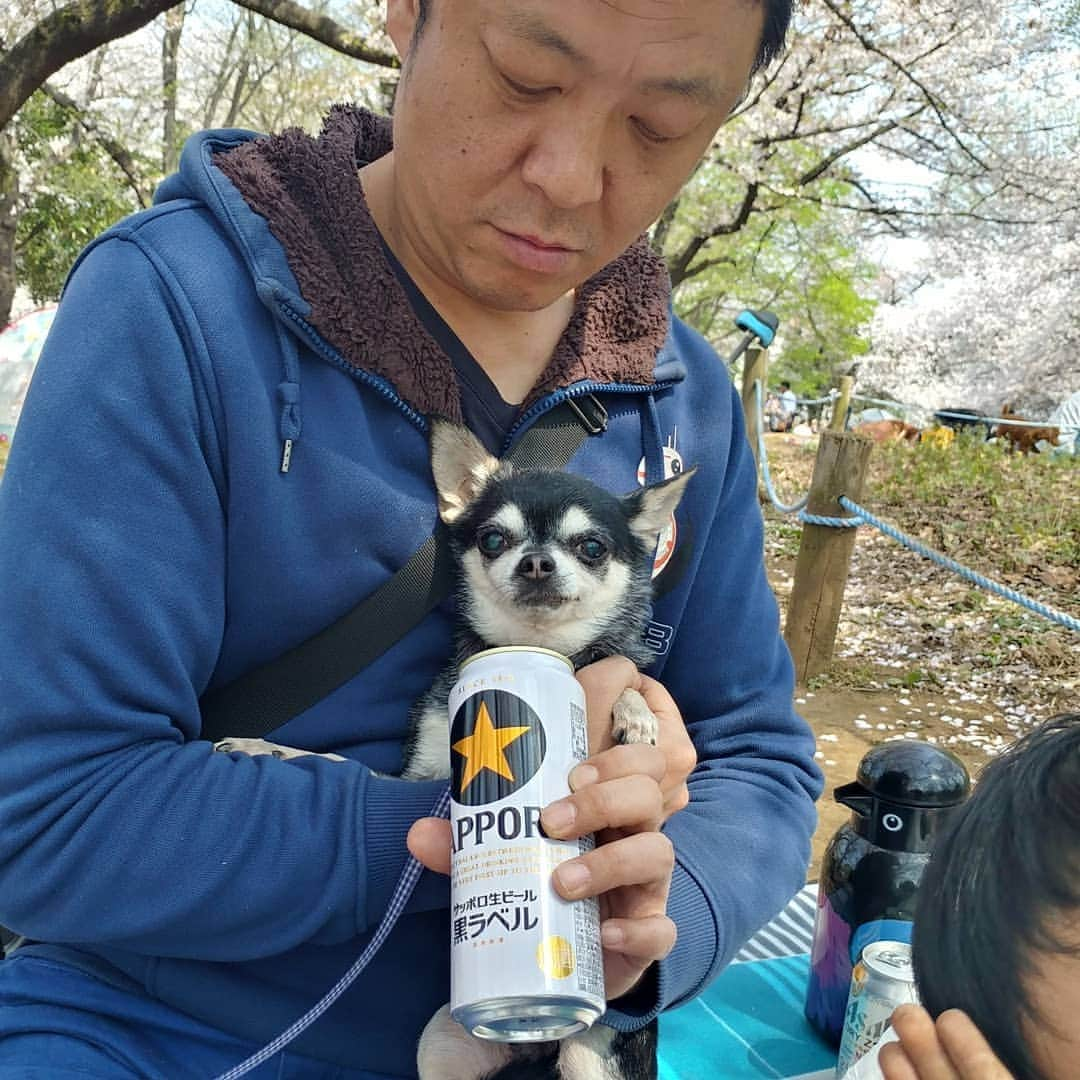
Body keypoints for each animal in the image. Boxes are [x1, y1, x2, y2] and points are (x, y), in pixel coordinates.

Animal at [214, 421, 695, 1080]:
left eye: (593, 547)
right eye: (494, 539)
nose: (537, 561)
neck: (536, 649)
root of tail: (533, 1038)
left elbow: (623, 677)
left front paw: (635, 712)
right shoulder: (421, 770)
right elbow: (338, 764)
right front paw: (265, 747)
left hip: (596, 1053)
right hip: (441, 1046)